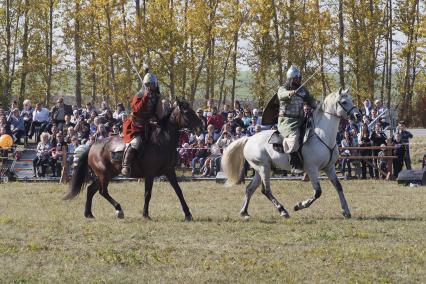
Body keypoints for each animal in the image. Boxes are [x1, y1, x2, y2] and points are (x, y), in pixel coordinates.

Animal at [63, 100, 203, 222]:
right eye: (187, 112)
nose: (201, 128)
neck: (162, 141)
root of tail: (92, 146)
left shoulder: (169, 171)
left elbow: (179, 191)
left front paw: (188, 215)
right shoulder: (150, 174)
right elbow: (148, 193)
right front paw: (145, 214)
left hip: (107, 174)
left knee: (91, 190)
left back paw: (89, 214)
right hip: (104, 174)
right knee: (103, 191)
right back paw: (119, 210)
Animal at [223, 90, 360, 219]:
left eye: (350, 99)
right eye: (344, 102)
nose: (358, 115)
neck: (321, 135)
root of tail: (249, 139)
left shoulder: (329, 168)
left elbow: (339, 187)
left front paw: (346, 211)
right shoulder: (312, 169)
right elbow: (317, 192)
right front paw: (299, 205)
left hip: (259, 169)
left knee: (250, 189)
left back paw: (244, 212)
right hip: (263, 168)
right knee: (266, 190)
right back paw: (282, 211)